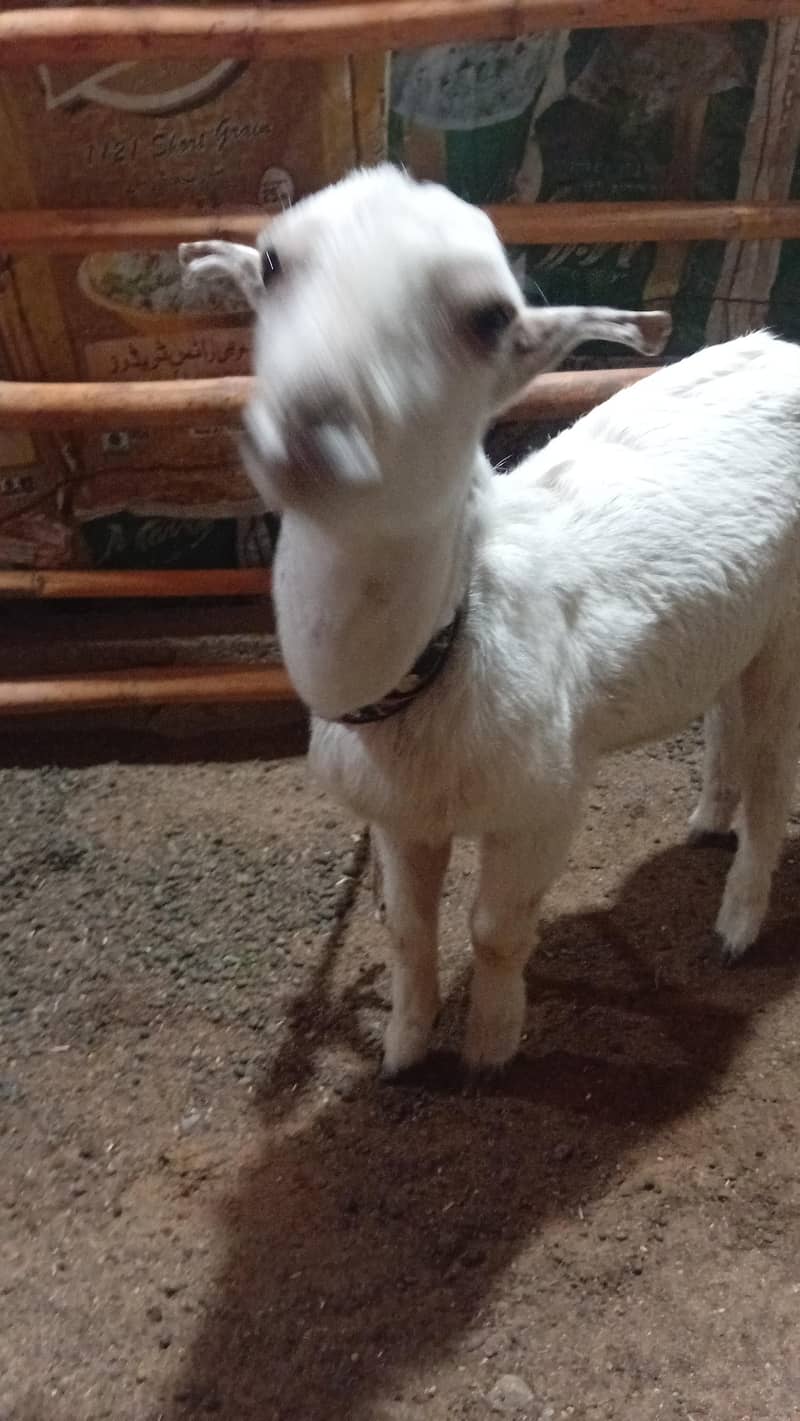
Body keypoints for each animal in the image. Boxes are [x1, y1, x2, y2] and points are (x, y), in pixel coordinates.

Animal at [182, 164, 800, 1075]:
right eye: (271, 263)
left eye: (489, 317)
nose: (313, 426)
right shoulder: (397, 818)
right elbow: (409, 931)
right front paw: (405, 1044)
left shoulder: (543, 802)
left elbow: (495, 930)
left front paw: (490, 1044)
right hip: (737, 619)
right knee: (726, 714)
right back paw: (708, 818)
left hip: (790, 624)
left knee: (772, 772)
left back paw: (739, 918)